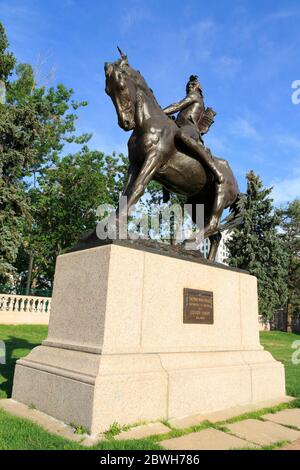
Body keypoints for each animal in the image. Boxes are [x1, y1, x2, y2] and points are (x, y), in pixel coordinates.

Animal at [102, 50, 240, 260]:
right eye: (107, 91)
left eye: (122, 86)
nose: (125, 123)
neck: (148, 122)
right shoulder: (134, 165)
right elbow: (126, 193)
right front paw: (114, 225)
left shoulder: (153, 160)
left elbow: (136, 189)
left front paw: (114, 226)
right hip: (196, 204)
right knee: (215, 235)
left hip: (220, 196)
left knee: (214, 225)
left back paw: (188, 244)